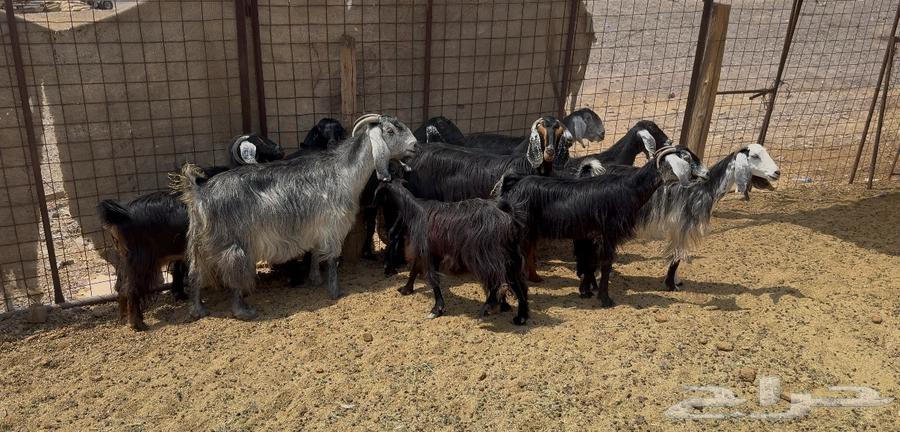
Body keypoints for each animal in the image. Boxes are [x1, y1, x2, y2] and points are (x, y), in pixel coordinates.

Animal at [172, 114, 417, 320]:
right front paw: (335, 290)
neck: (343, 172)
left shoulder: (317, 228)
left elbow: (316, 253)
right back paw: (243, 310)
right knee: (233, 274)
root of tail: (199, 192)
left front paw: (315, 279)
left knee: (194, 274)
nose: (415, 145)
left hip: (198, 242)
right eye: (390, 131)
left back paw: (197, 310)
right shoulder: (333, 226)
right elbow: (332, 259)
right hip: (233, 243)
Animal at [377, 179, 530, 324]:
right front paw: (406, 289)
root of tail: (506, 214)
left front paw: (436, 309)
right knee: (517, 282)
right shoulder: (430, 251)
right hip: (510, 254)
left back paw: (488, 307)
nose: (391, 232)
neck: (415, 210)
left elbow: (432, 278)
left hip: (485, 255)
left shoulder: (427, 252)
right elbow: (415, 269)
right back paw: (520, 316)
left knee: (496, 280)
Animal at [500, 146, 708, 306]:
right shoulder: (609, 232)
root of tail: (513, 186)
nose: (706, 174)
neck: (630, 189)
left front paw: (585, 291)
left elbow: (591, 262)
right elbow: (606, 264)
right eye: (687, 157)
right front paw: (605, 299)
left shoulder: (592, 234)